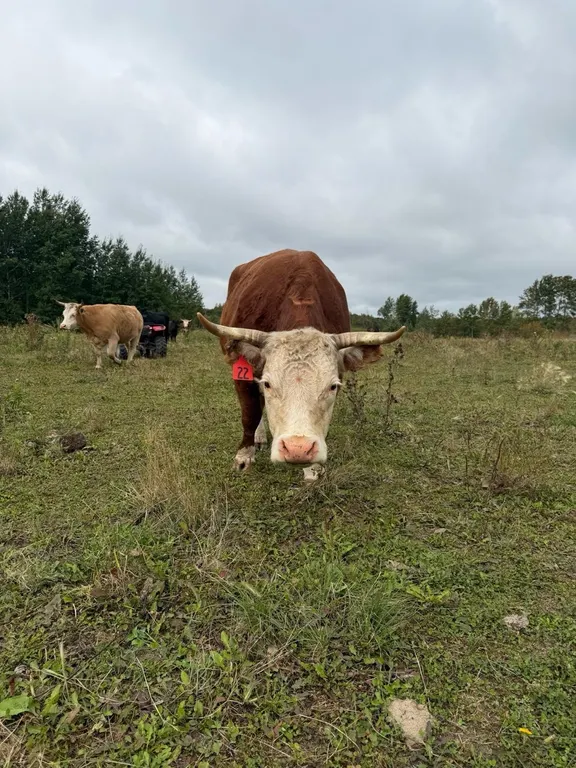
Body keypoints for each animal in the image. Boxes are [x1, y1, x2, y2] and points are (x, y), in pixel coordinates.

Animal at [197, 249, 405, 481]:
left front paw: (312, 470)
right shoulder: (243, 375)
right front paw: (244, 457)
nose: (298, 449)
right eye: (268, 384)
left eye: (333, 386)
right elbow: (250, 414)